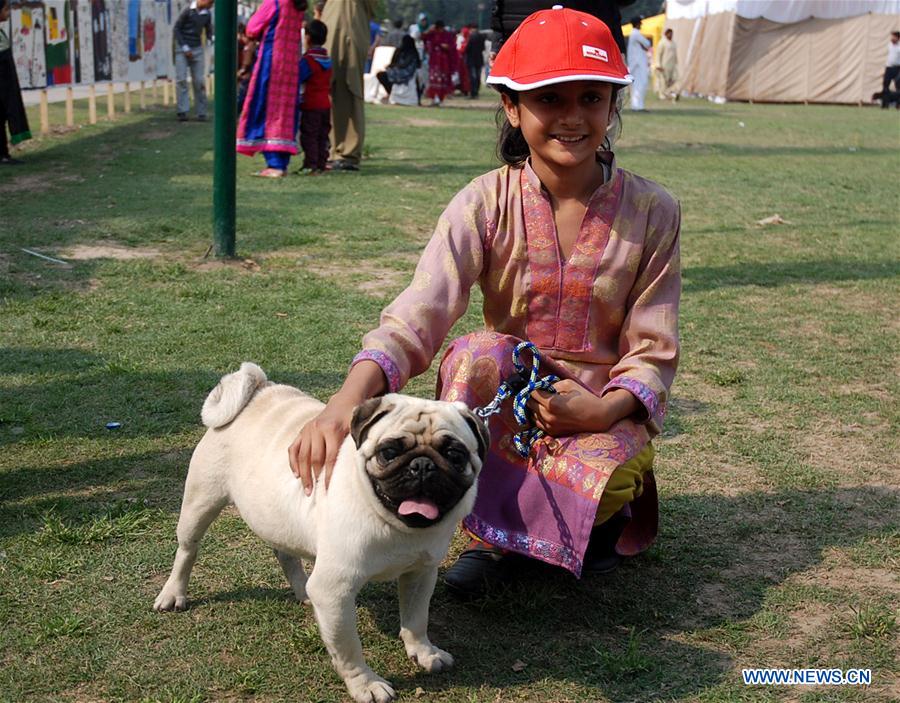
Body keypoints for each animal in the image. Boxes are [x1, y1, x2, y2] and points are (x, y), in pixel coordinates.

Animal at [156, 364, 492, 703]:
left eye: (455, 455)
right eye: (389, 452)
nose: (422, 465)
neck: (396, 525)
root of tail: (260, 389)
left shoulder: (421, 574)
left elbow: (416, 620)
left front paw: (424, 653)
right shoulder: (335, 591)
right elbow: (349, 648)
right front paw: (365, 684)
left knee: (284, 553)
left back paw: (302, 589)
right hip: (200, 503)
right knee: (187, 550)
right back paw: (173, 594)